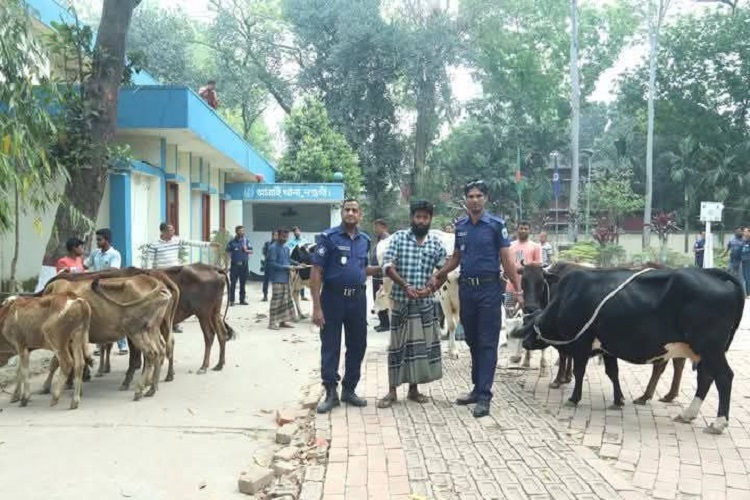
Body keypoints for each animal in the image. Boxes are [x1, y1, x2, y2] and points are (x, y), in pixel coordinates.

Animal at [44, 276, 173, 400]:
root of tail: (150, 280)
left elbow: (56, 362)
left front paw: (47, 386)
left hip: (137, 332)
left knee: (150, 354)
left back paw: (139, 388)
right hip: (152, 329)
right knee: (160, 351)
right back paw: (152, 387)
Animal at [516, 268, 744, 436]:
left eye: (530, 325)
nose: (525, 342)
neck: (567, 297)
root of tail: (713, 273)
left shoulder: (582, 344)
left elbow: (580, 372)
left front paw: (574, 398)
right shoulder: (607, 347)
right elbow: (613, 373)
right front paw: (618, 400)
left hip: (710, 348)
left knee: (724, 377)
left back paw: (718, 423)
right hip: (703, 351)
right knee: (706, 377)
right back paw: (688, 414)